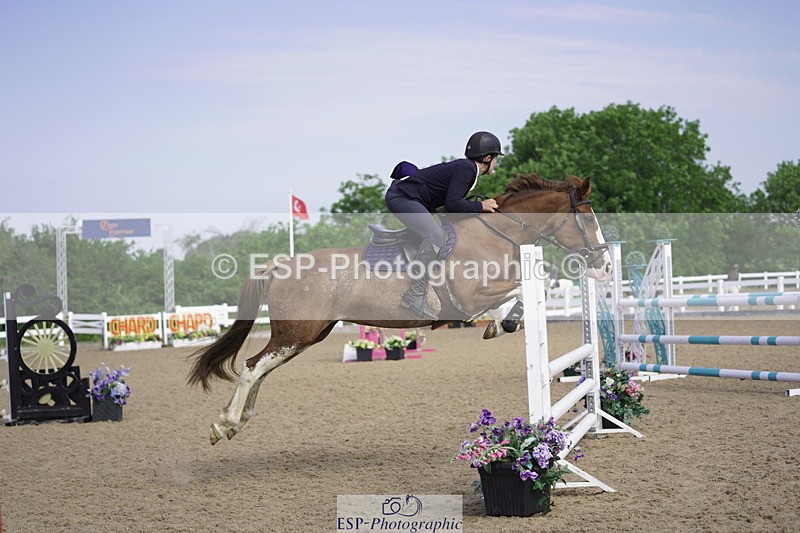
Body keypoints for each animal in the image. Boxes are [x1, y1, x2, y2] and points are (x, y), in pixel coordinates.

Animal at [188, 173, 612, 444]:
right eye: (587, 218)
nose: (605, 267)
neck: (498, 233)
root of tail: (280, 265)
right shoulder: (471, 295)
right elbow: (522, 290)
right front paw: (502, 322)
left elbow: (521, 294)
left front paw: (500, 323)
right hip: (297, 334)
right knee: (252, 366)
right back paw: (224, 423)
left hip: (306, 335)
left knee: (260, 369)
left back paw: (236, 421)